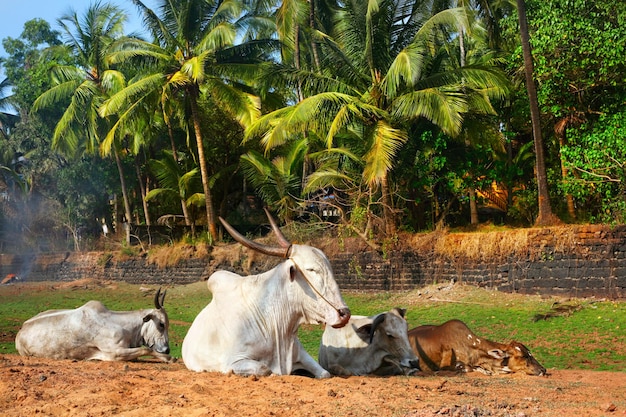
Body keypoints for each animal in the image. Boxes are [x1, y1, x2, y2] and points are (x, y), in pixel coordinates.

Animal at [15, 286, 171, 360]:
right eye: (161, 324)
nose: (167, 349)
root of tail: (20, 330)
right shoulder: (114, 353)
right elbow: (146, 349)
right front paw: (169, 358)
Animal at [182, 208, 352, 376]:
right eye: (311, 269)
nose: (344, 314)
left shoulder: (300, 354)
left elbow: (325, 374)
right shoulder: (233, 361)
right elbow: (265, 369)